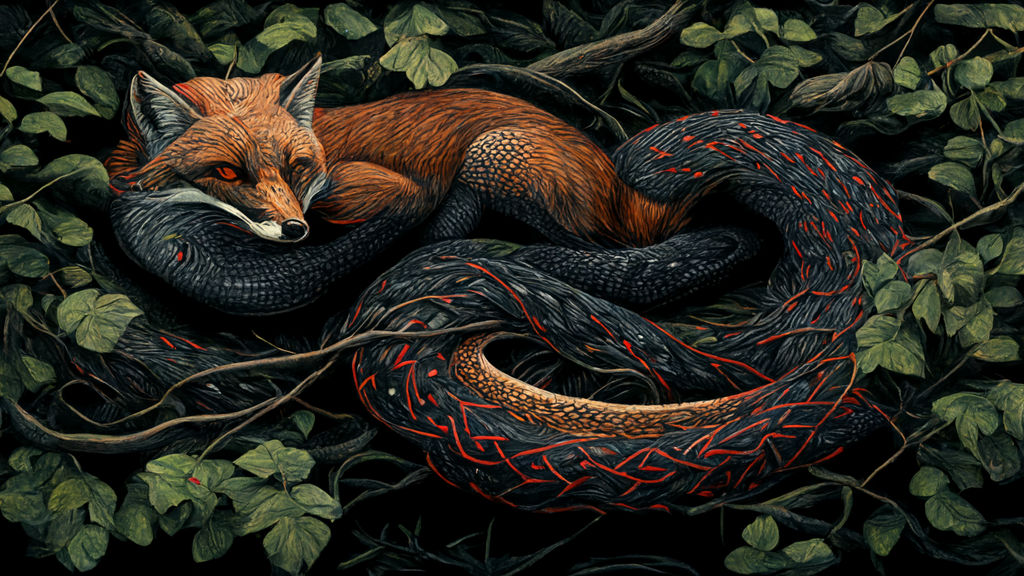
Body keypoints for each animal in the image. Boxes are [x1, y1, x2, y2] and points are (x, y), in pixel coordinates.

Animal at [106, 56, 698, 248]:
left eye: (297, 167)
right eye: (227, 171)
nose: (296, 230)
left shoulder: (399, 187)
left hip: (490, 152)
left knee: (591, 243)